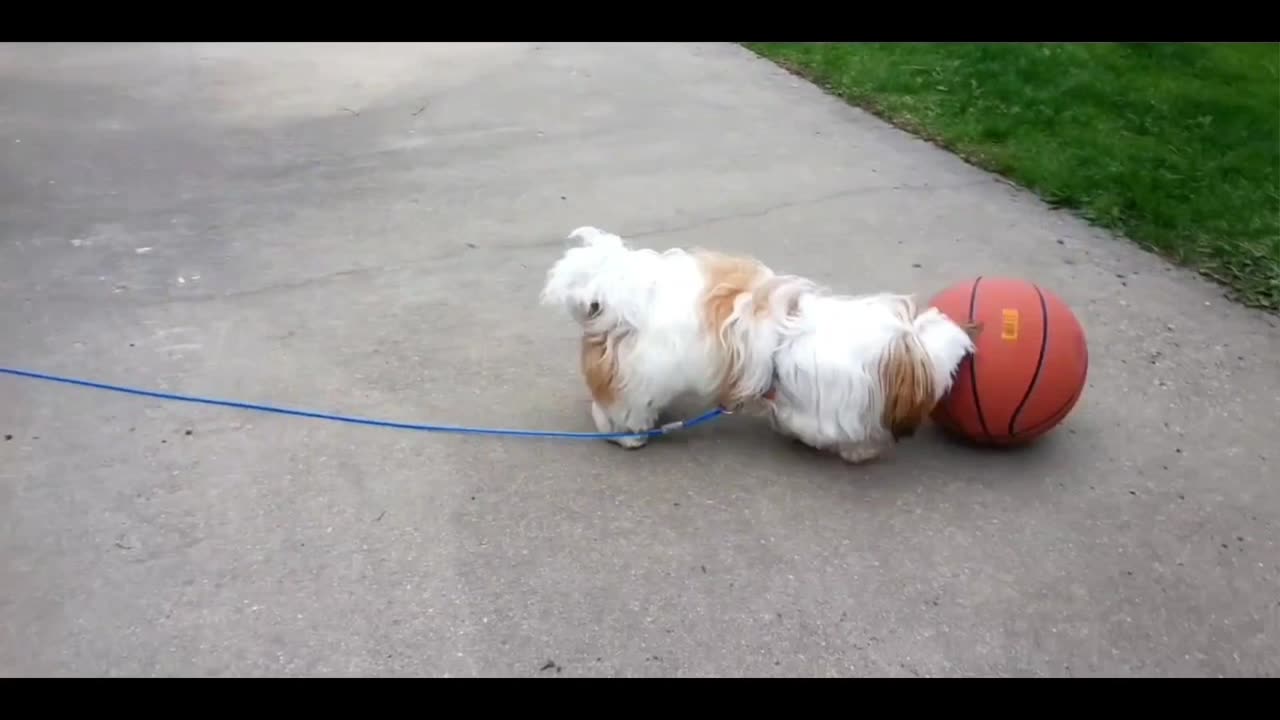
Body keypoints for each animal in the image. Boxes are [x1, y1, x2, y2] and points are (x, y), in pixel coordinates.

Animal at [542, 224, 977, 458]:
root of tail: (608, 294)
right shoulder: (831, 407)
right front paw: (861, 450)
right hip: (636, 375)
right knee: (613, 409)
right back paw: (629, 436)